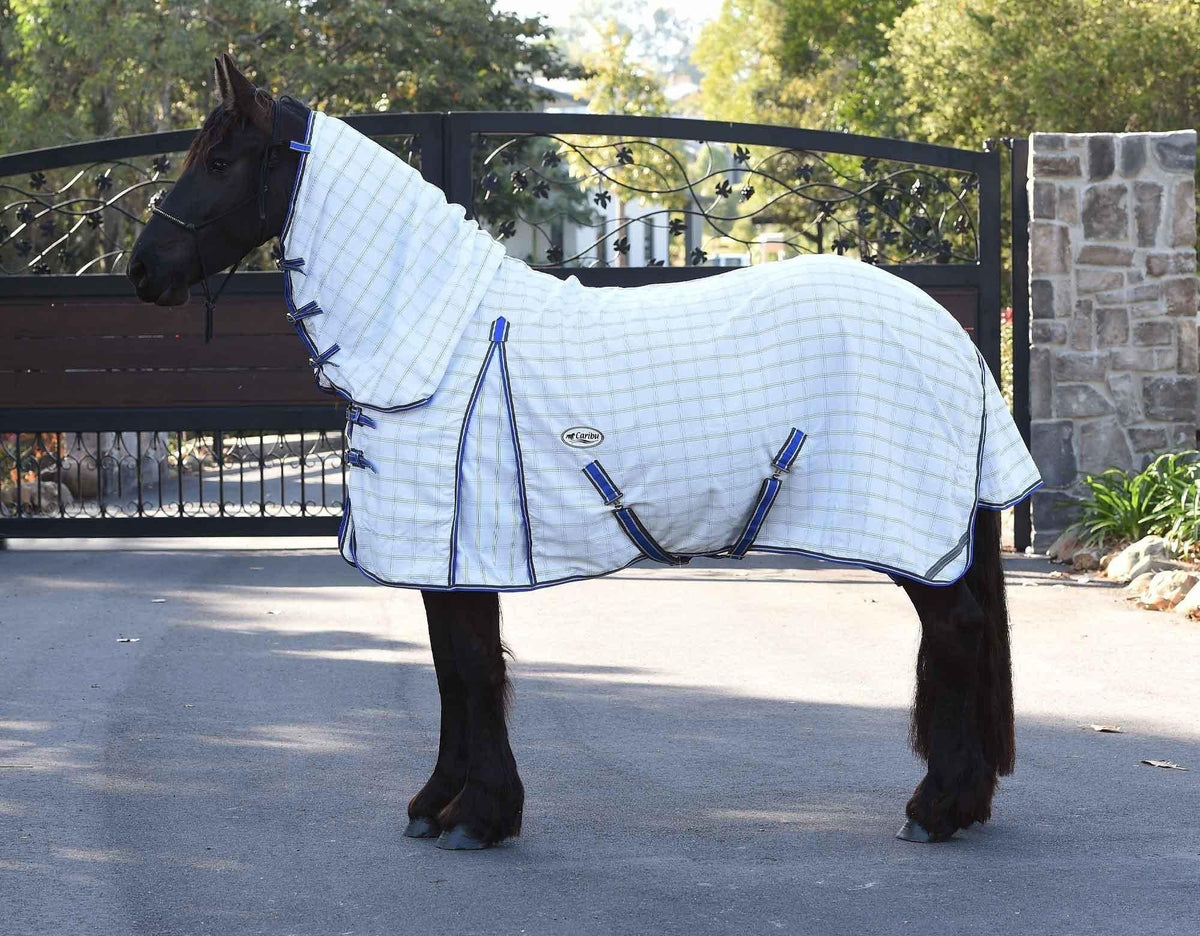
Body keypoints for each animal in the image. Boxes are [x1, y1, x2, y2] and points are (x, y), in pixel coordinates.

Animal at [128, 55, 1040, 850]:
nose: (142, 271)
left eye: (219, 160)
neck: (440, 340)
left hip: (912, 538)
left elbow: (473, 668)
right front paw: (439, 804)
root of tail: (954, 336)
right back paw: (958, 804)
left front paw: (478, 816)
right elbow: (452, 669)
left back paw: (937, 809)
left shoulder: (463, 553)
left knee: (954, 635)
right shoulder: (450, 561)